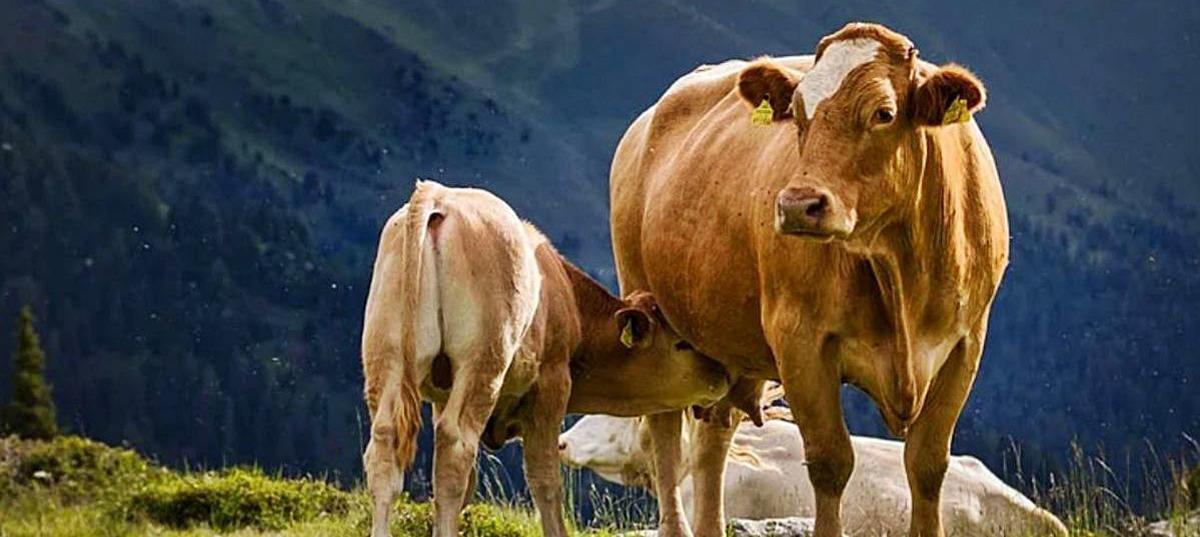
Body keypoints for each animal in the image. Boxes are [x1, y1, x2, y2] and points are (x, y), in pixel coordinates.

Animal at [361, 180, 734, 537]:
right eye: (682, 343)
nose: (724, 375)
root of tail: (439, 197)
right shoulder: (552, 384)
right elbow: (545, 479)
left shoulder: (441, 394)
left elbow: (468, 487)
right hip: (482, 362)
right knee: (455, 446)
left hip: (386, 356)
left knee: (385, 446)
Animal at [610, 22, 1010, 537]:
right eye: (798, 114)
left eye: (884, 113)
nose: (799, 204)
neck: (899, 267)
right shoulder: (800, 339)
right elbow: (829, 461)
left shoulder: (965, 344)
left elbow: (927, 462)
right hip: (647, 306)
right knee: (666, 431)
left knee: (714, 436)